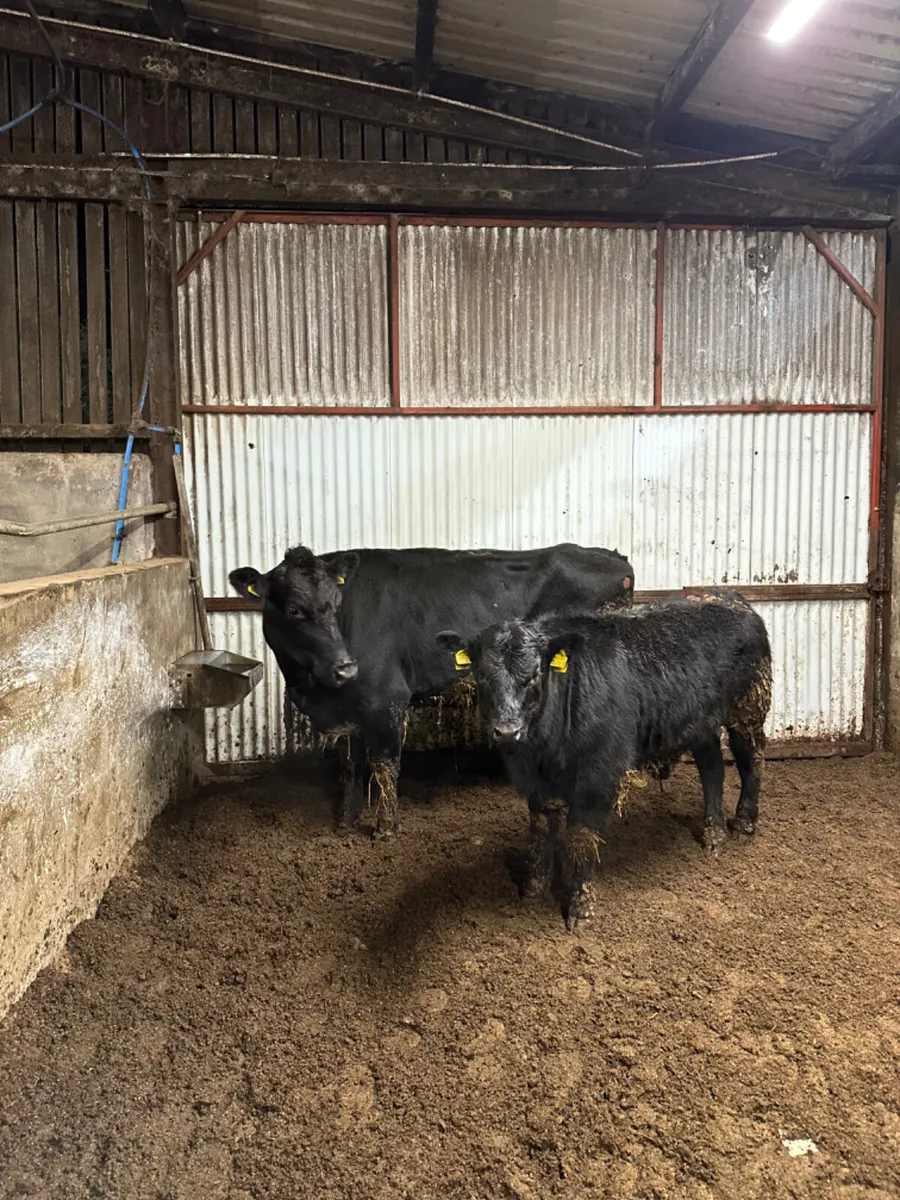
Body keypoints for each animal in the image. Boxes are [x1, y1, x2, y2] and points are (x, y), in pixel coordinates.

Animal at [229, 543, 634, 837]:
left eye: (335, 603)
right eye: (294, 609)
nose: (346, 667)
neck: (316, 692)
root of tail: (612, 557)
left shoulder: (387, 699)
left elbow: (384, 766)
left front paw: (386, 829)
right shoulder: (350, 710)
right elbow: (349, 767)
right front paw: (345, 821)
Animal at [436, 591, 771, 925]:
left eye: (533, 675)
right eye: (481, 674)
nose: (507, 731)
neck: (543, 751)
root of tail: (729, 597)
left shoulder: (599, 775)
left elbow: (582, 837)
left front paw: (581, 906)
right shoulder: (536, 782)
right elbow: (541, 828)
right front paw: (534, 885)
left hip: (748, 706)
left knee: (751, 761)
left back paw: (743, 825)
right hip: (702, 721)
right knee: (712, 766)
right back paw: (714, 834)